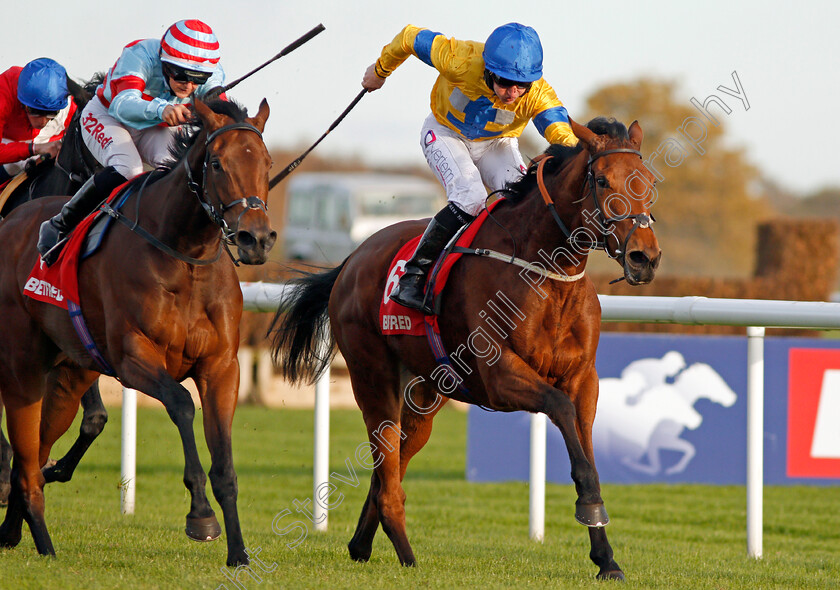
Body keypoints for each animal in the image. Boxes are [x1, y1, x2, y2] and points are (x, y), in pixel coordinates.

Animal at [0, 97, 274, 568]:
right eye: (217, 163)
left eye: (267, 161)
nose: (255, 238)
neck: (185, 254)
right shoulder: (134, 359)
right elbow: (181, 404)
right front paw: (200, 515)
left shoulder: (222, 367)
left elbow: (225, 464)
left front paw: (238, 552)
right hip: (22, 366)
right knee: (25, 452)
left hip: (65, 377)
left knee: (33, 453)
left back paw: (14, 530)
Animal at [270, 117, 664, 584]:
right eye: (603, 181)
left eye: (650, 182)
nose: (644, 257)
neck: (547, 272)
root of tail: (351, 260)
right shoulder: (499, 377)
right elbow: (560, 409)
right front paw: (590, 508)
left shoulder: (584, 379)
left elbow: (584, 443)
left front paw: (606, 557)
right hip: (372, 376)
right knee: (386, 463)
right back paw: (407, 556)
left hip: (425, 395)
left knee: (390, 467)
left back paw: (361, 544)